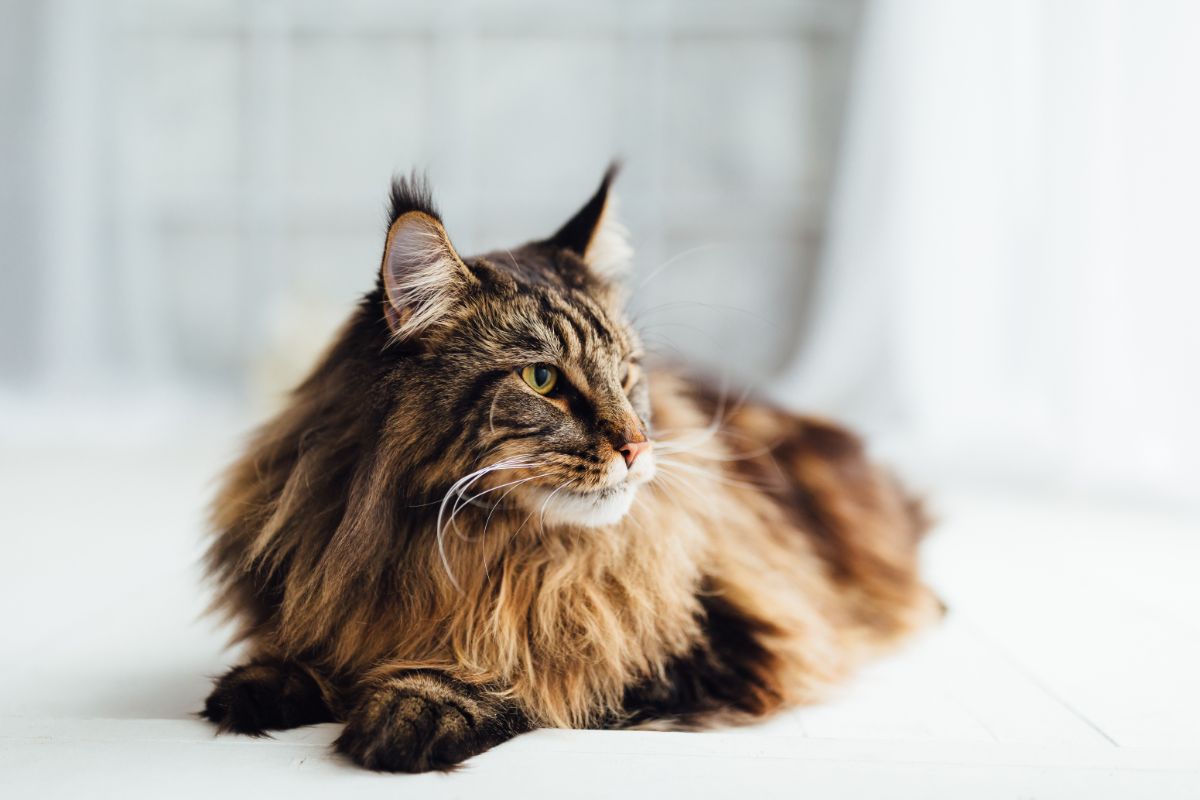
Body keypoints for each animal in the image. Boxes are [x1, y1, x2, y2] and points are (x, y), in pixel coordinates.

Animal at [201, 165, 940, 772]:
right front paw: (270, 682)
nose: (637, 445)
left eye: (627, 374)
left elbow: (545, 668)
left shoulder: (720, 641)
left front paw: (420, 701)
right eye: (543, 379)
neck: (469, 554)